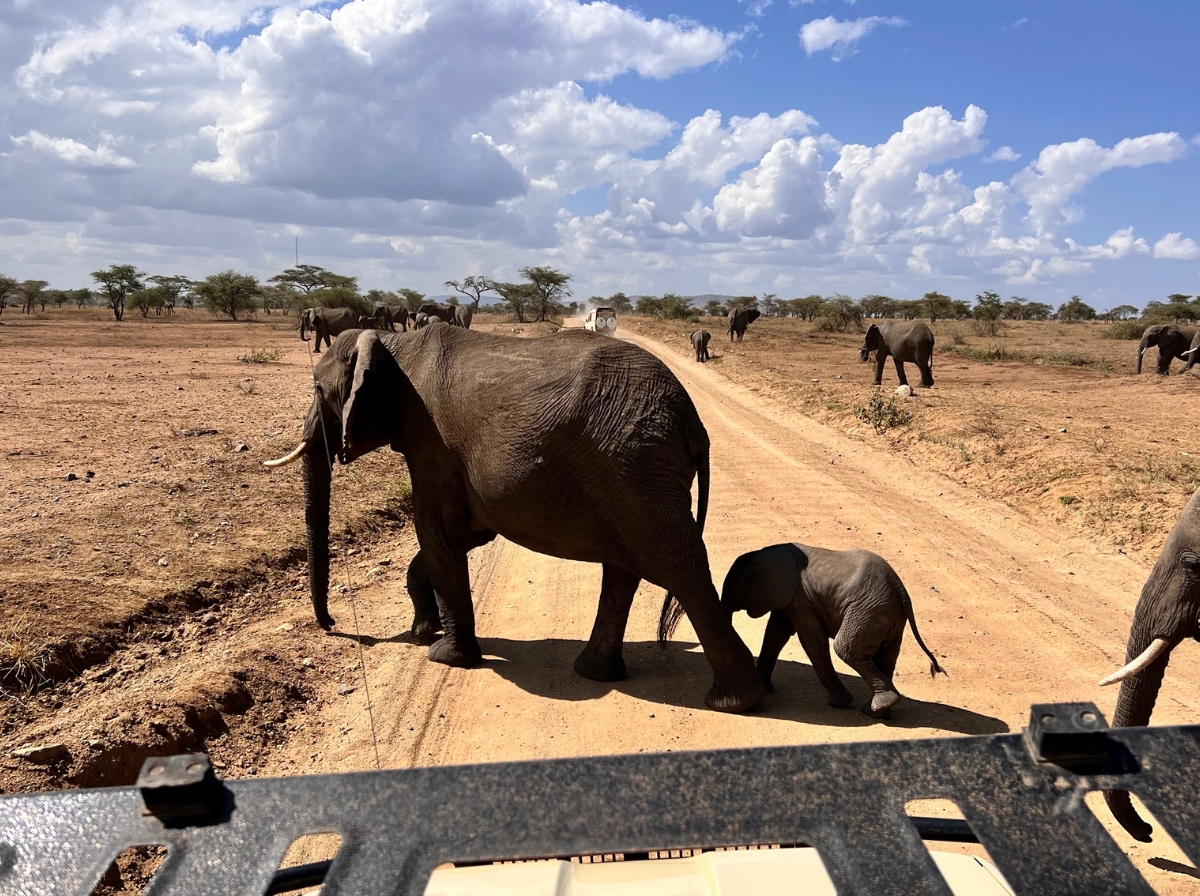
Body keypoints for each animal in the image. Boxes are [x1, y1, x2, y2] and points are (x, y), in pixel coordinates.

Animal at [263, 326, 765, 713]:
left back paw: (734, 702)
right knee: (625, 566)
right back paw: (596, 673)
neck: (393, 343)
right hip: (630, 469)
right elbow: (464, 535)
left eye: (317, 390)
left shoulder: (431, 441)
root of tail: (695, 424)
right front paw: (424, 631)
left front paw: (443, 656)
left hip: (636, 464)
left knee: (676, 564)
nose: (331, 626)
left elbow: (436, 532)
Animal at [712, 542, 945, 719]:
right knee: (885, 657)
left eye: (730, 590)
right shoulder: (790, 598)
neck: (761, 553)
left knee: (845, 648)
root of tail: (902, 593)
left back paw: (878, 707)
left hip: (868, 612)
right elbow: (775, 634)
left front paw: (839, 703)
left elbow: (811, 640)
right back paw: (877, 712)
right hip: (887, 618)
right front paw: (765, 688)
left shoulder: (801, 599)